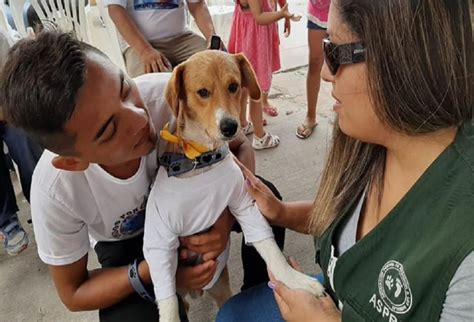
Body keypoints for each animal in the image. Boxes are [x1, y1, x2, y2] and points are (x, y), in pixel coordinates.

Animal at [143, 51, 324, 322]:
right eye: (203, 92)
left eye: (233, 86)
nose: (230, 127)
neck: (202, 160)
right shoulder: (160, 237)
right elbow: (167, 299)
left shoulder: (245, 205)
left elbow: (269, 249)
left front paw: (297, 282)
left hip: (221, 289)